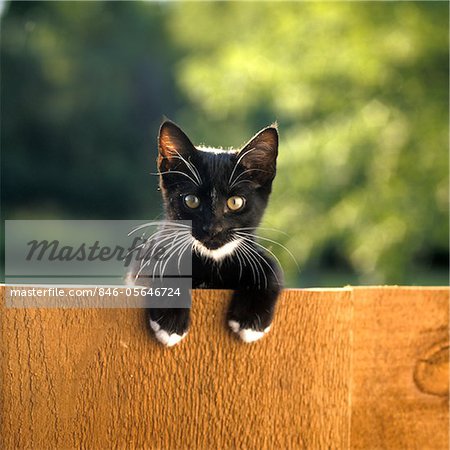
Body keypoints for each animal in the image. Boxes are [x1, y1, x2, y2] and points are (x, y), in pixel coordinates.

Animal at [132, 121, 284, 346]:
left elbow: (271, 266)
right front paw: (169, 321)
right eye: (191, 200)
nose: (213, 228)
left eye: (235, 202)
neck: (211, 262)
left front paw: (251, 320)